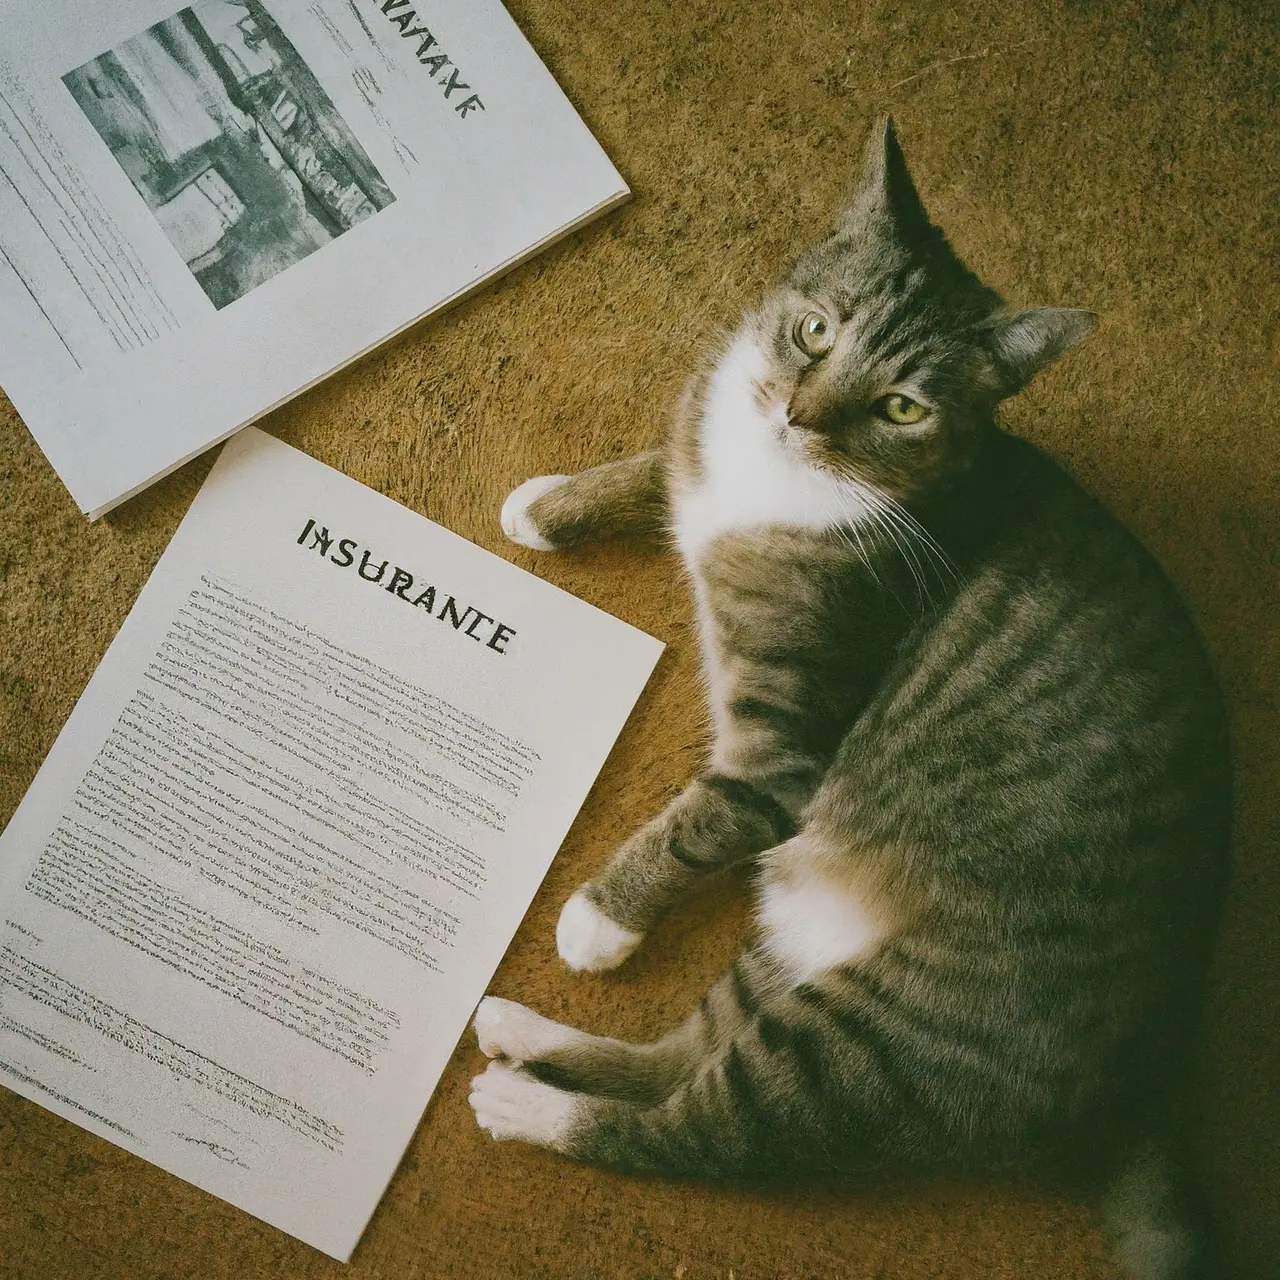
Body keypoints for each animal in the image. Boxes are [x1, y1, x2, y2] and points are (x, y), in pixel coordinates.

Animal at [468, 120, 1228, 1280]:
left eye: (901, 406)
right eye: (814, 329)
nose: (794, 415)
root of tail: (1147, 1065)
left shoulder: (783, 754)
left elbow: (699, 818)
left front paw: (602, 918)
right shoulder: (699, 439)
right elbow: (656, 464)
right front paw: (549, 506)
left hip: (875, 1043)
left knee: (692, 1133)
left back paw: (525, 1102)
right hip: (783, 944)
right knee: (679, 1056)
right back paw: (520, 1034)